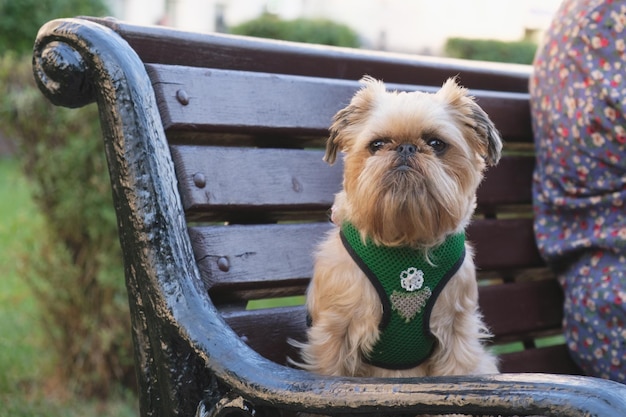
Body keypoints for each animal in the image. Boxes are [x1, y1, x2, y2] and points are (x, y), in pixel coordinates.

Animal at [290, 75, 500, 380]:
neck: (404, 239)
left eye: (436, 143)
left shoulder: (456, 335)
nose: (405, 147)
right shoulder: (334, 333)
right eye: (377, 144)